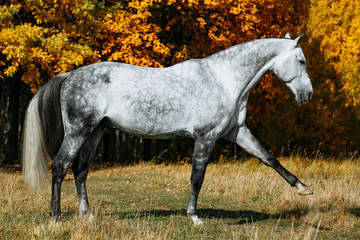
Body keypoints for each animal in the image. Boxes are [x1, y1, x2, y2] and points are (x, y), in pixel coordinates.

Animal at [22, 32, 314, 225]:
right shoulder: (206, 137)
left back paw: (88, 214)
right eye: (301, 61)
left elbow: (269, 158)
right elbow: (197, 177)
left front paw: (303, 188)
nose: (308, 95)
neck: (223, 79)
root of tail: (69, 75)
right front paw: (194, 216)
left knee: (80, 171)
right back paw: (56, 217)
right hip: (78, 131)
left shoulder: (236, 132)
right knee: (60, 167)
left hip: (95, 131)